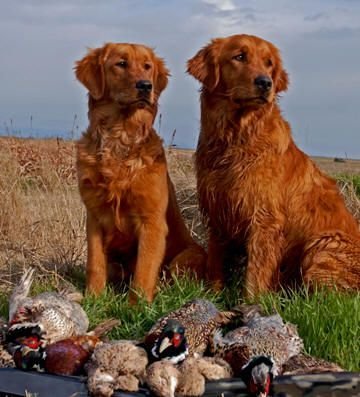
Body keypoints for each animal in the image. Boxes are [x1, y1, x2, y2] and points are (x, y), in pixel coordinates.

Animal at [74, 43, 205, 302]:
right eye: (121, 63)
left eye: (147, 67)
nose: (146, 86)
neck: (120, 137)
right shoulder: (94, 218)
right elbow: (94, 264)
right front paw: (93, 299)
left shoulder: (151, 221)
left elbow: (144, 270)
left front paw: (137, 305)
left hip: (185, 258)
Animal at [188, 34, 360, 296]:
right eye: (239, 56)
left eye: (269, 63)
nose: (265, 83)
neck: (236, 137)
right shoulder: (218, 211)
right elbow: (216, 262)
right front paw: (214, 294)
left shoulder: (264, 219)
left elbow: (255, 273)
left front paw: (251, 301)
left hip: (323, 243)